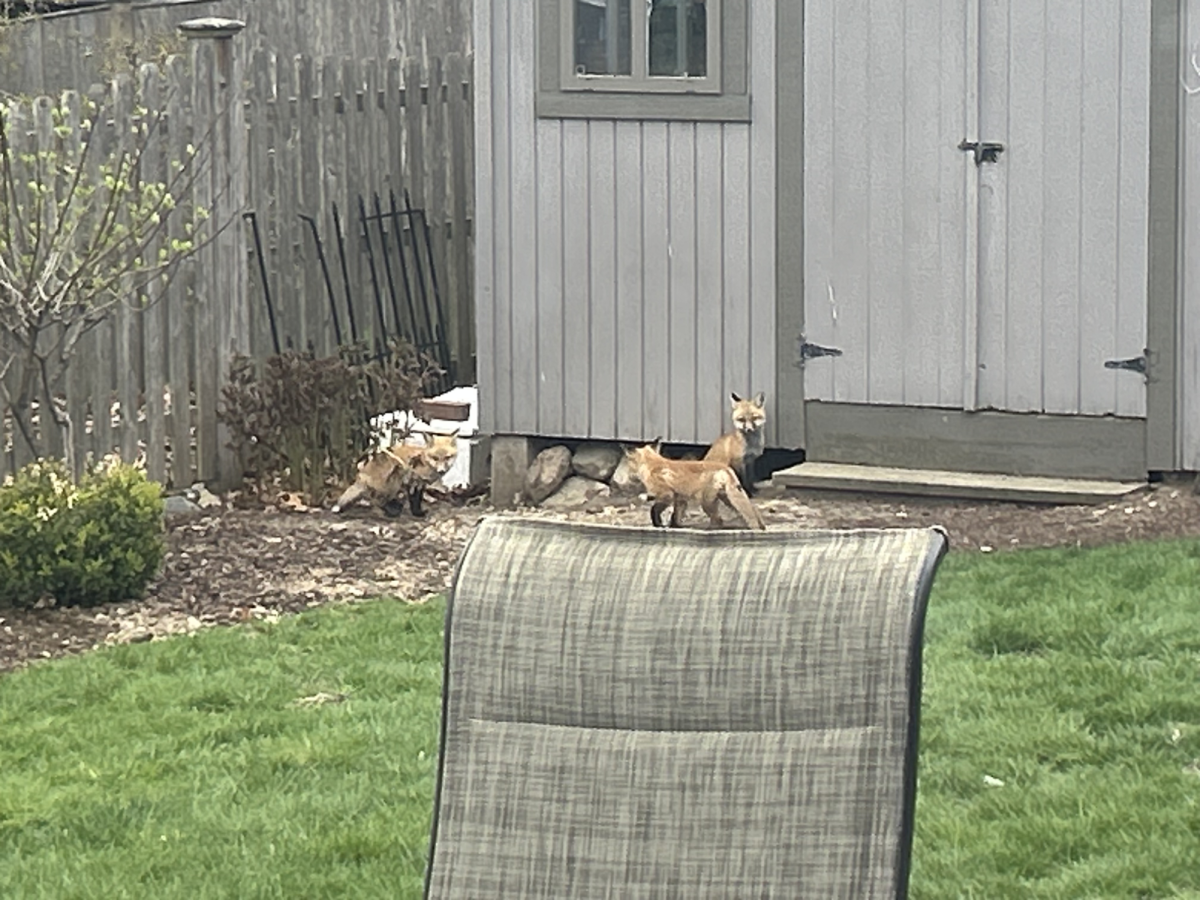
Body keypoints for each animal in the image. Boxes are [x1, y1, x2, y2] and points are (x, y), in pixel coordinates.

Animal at [330, 429, 459, 518]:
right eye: (435, 458)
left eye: (447, 457)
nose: (441, 470)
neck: (424, 462)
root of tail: (361, 475)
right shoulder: (412, 482)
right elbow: (414, 501)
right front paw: (417, 513)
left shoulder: (420, 485)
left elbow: (417, 499)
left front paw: (418, 511)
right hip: (395, 476)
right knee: (377, 500)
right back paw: (392, 511)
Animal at [625, 439, 766, 531]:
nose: (630, 476)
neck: (652, 464)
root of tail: (726, 467)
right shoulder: (680, 499)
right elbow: (676, 516)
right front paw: (675, 527)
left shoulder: (666, 495)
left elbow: (654, 510)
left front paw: (658, 525)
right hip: (729, 499)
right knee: (751, 511)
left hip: (707, 502)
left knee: (718, 520)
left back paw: (709, 530)